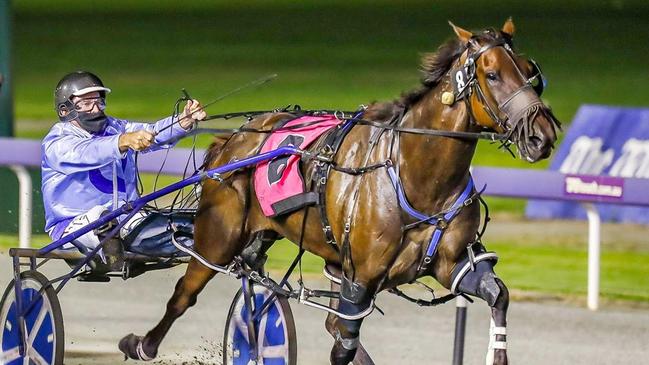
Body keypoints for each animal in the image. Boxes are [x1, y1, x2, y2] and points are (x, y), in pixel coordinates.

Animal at [120, 19, 556, 364]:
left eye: (531, 71)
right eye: (492, 74)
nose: (543, 135)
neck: (415, 174)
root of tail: (234, 138)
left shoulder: (451, 265)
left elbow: (498, 294)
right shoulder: (360, 280)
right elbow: (343, 343)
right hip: (217, 238)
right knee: (184, 293)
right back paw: (141, 344)